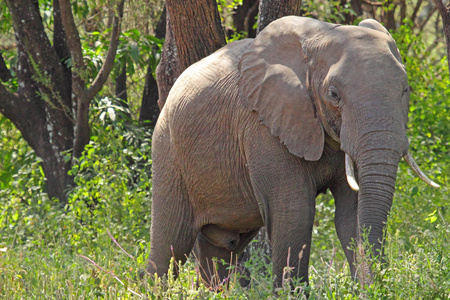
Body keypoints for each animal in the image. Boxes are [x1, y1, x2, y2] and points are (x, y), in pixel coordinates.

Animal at [146, 16, 438, 288]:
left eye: (405, 89)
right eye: (333, 94)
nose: (376, 284)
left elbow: (351, 214)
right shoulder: (263, 127)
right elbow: (295, 214)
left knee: (220, 250)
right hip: (167, 151)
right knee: (169, 246)